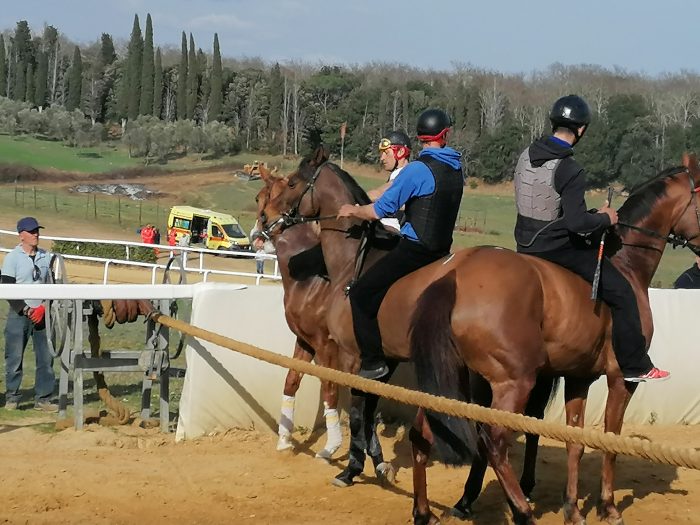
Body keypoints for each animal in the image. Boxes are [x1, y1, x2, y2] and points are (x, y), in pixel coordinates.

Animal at [256, 165, 400, 478]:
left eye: (261, 196)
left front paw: (330, 447)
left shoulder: (326, 347)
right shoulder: (304, 341)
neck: (312, 280)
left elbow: (330, 389)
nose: (259, 230)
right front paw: (285, 440)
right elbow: (291, 381)